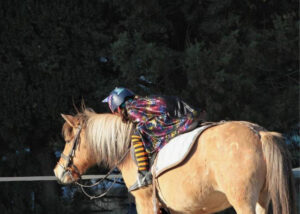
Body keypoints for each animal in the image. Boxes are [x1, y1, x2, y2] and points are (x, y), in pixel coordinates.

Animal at [53, 109, 296, 213]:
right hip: (262, 199)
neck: (128, 147)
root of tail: (258, 133)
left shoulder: (145, 202)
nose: (58, 171)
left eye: (69, 139)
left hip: (243, 201)